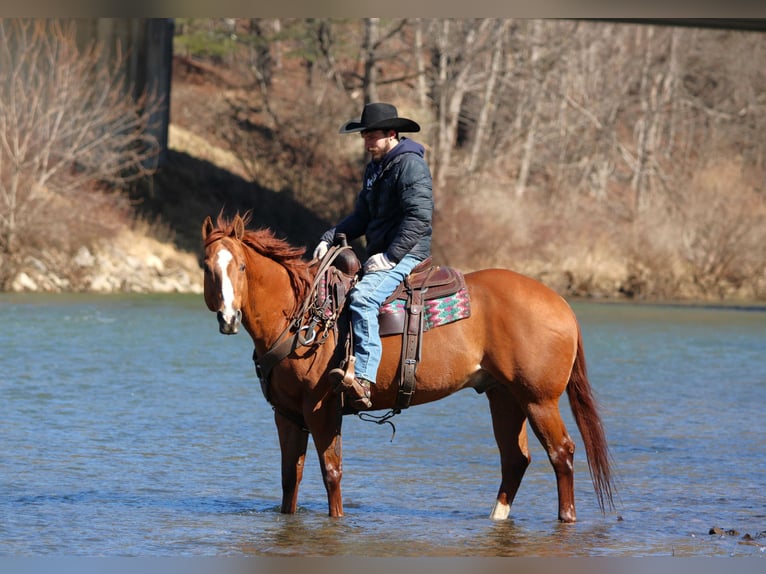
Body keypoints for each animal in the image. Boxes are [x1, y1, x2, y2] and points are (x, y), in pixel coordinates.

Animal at [201, 211, 614, 522]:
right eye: (207, 267)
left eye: (241, 266)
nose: (228, 317)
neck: (306, 314)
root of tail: (561, 304)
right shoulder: (287, 415)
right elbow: (291, 479)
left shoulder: (322, 409)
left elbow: (331, 473)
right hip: (505, 398)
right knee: (515, 459)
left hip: (539, 400)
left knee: (562, 453)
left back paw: (566, 518)